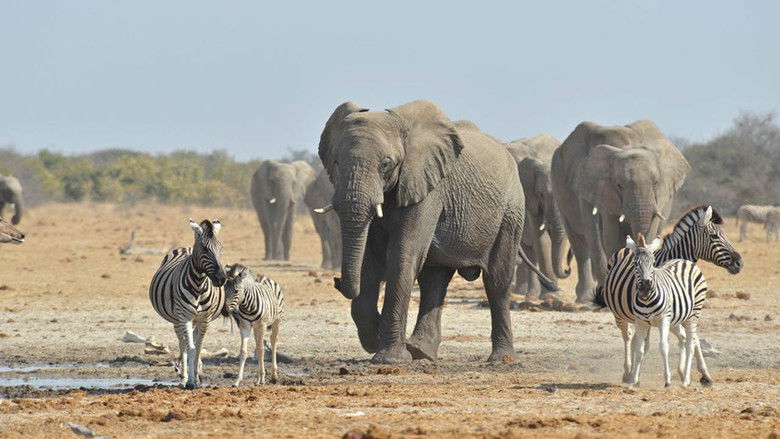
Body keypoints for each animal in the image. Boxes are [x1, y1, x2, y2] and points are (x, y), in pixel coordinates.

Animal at [318, 100, 557, 364]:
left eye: (385, 164)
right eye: (336, 163)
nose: (336, 280)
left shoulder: (427, 187)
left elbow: (402, 256)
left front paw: (389, 359)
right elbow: (369, 260)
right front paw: (376, 340)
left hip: (511, 211)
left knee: (496, 280)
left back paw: (501, 360)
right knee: (434, 280)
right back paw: (420, 351)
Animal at [505, 135, 571, 299]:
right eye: (541, 194)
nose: (567, 269)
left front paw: (553, 294)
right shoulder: (531, 202)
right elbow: (543, 240)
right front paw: (551, 295)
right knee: (530, 252)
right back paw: (528, 295)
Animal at [551, 121, 689, 302]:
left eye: (656, 182)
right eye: (619, 185)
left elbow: (649, 233)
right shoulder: (590, 184)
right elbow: (607, 236)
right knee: (581, 245)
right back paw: (586, 299)